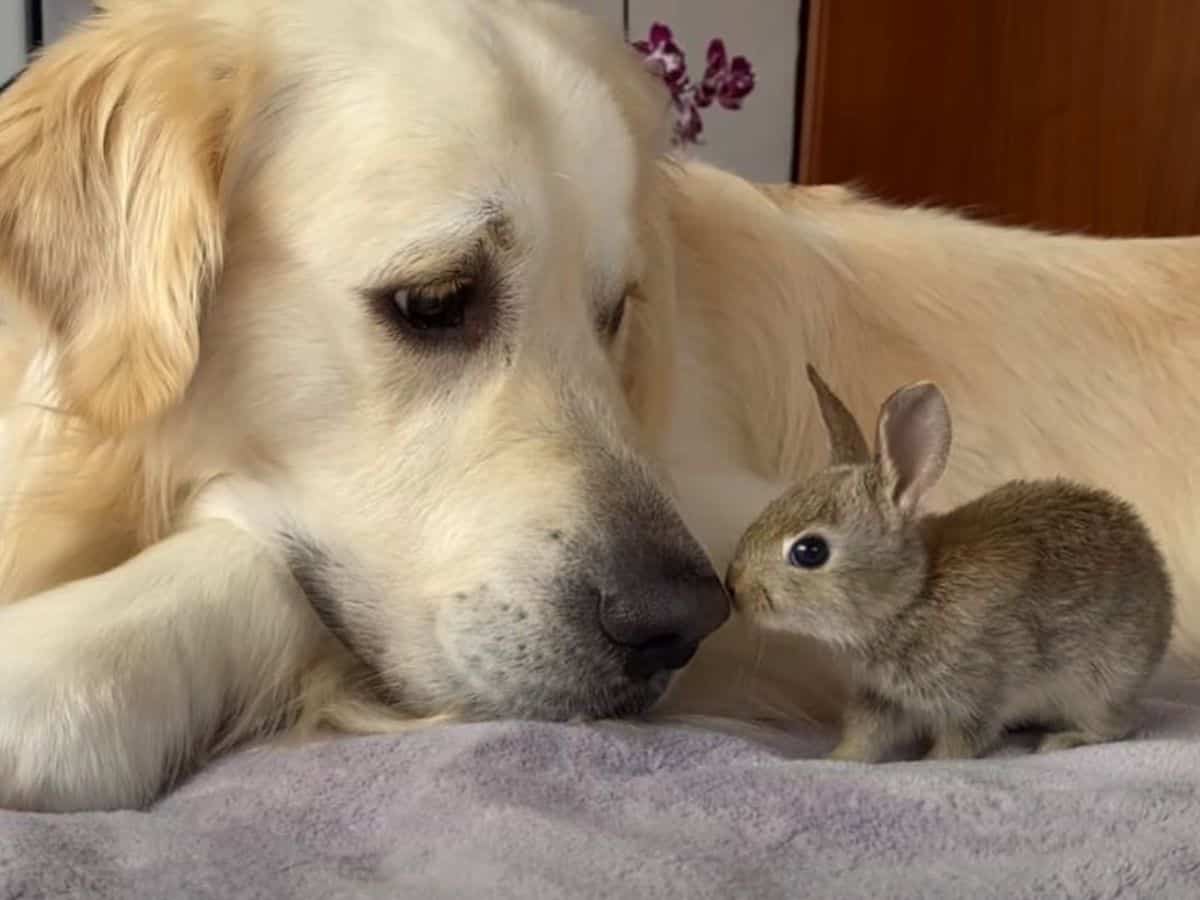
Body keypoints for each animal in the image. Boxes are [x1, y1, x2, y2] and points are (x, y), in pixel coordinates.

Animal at [724, 362, 1176, 763]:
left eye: (810, 551)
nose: (734, 588)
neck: (913, 595)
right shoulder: (882, 697)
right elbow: (865, 737)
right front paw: (835, 760)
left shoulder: (978, 690)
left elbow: (960, 743)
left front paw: (928, 763)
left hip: (1100, 681)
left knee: (1116, 723)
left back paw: (1062, 740)